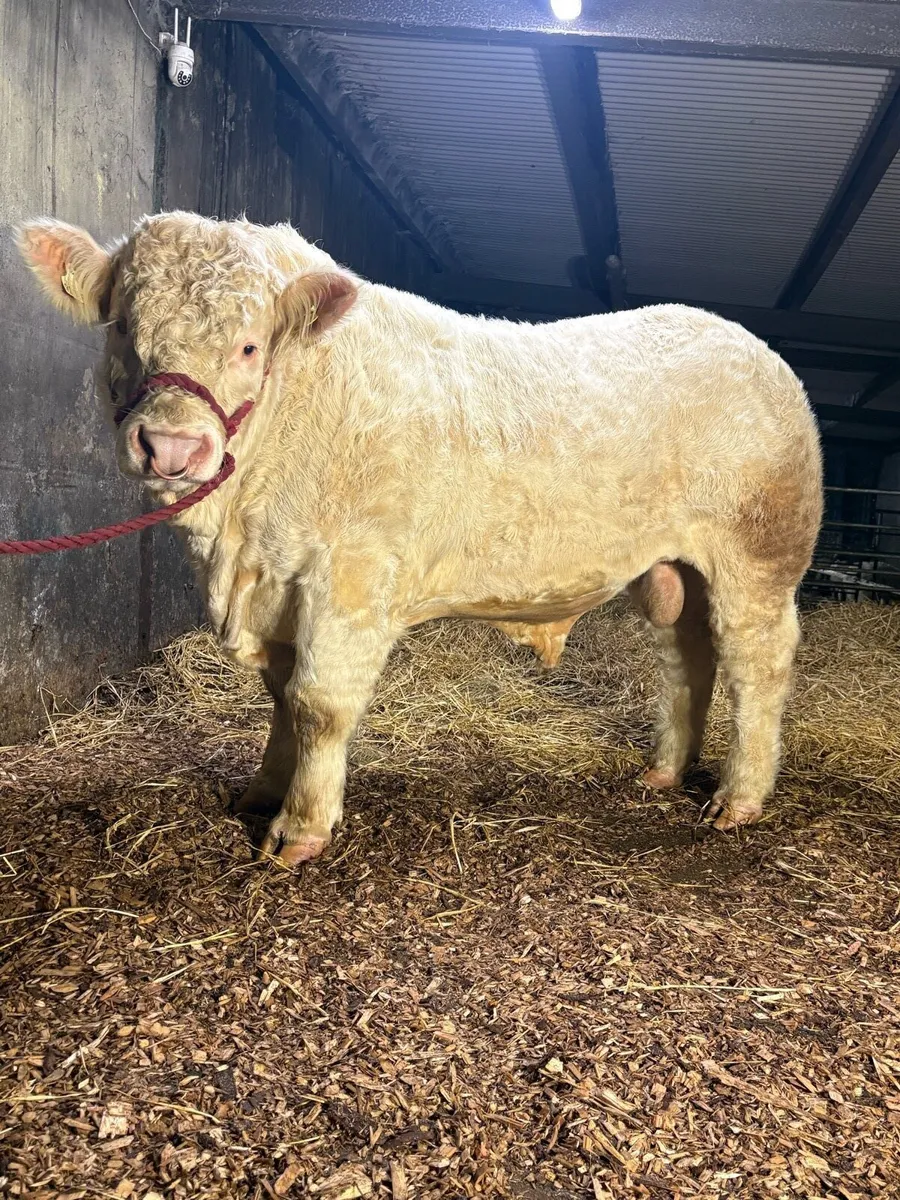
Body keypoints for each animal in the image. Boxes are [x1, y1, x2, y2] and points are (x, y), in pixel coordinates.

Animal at [17, 213, 823, 865]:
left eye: (249, 347)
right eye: (124, 327)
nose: (171, 447)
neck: (238, 541)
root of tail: (747, 344)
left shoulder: (348, 575)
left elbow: (317, 703)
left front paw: (300, 829)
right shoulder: (279, 579)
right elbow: (279, 697)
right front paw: (263, 791)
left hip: (759, 556)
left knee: (756, 665)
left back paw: (739, 797)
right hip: (674, 568)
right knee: (686, 659)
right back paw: (664, 770)